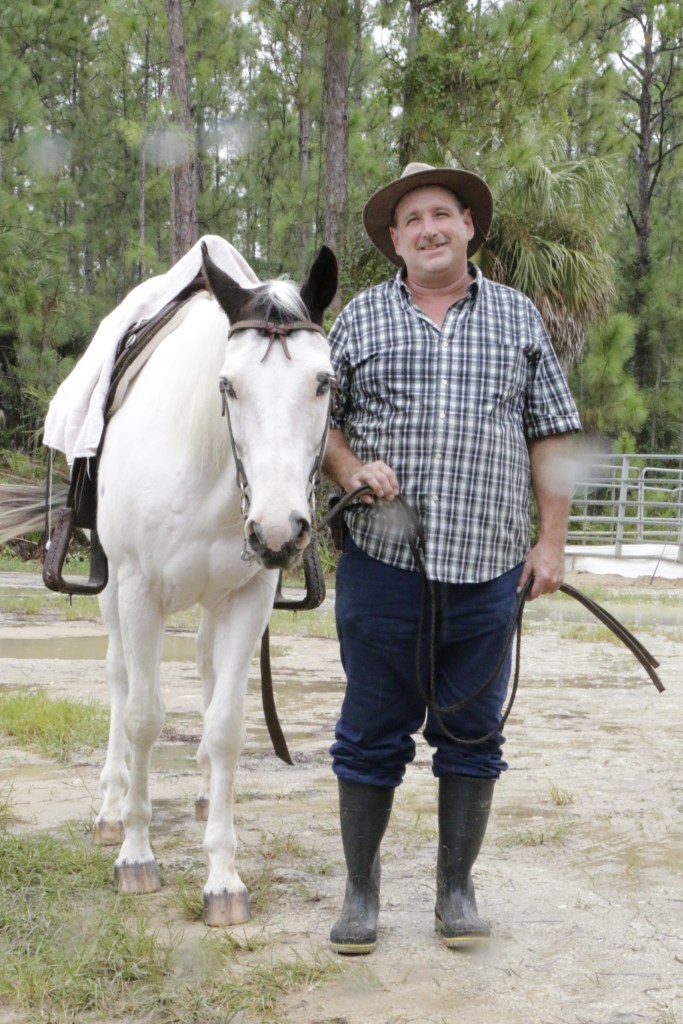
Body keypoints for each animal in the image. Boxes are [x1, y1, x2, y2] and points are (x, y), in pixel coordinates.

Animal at [2, 241, 338, 927]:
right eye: (228, 385)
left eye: (323, 382)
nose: (277, 530)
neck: (207, 459)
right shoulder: (138, 593)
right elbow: (143, 717)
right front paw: (135, 854)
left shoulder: (247, 599)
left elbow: (226, 724)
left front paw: (223, 879)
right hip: (112, 596)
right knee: (118, 681)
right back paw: (110, 809)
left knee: (207, 674)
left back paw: (208, 797)